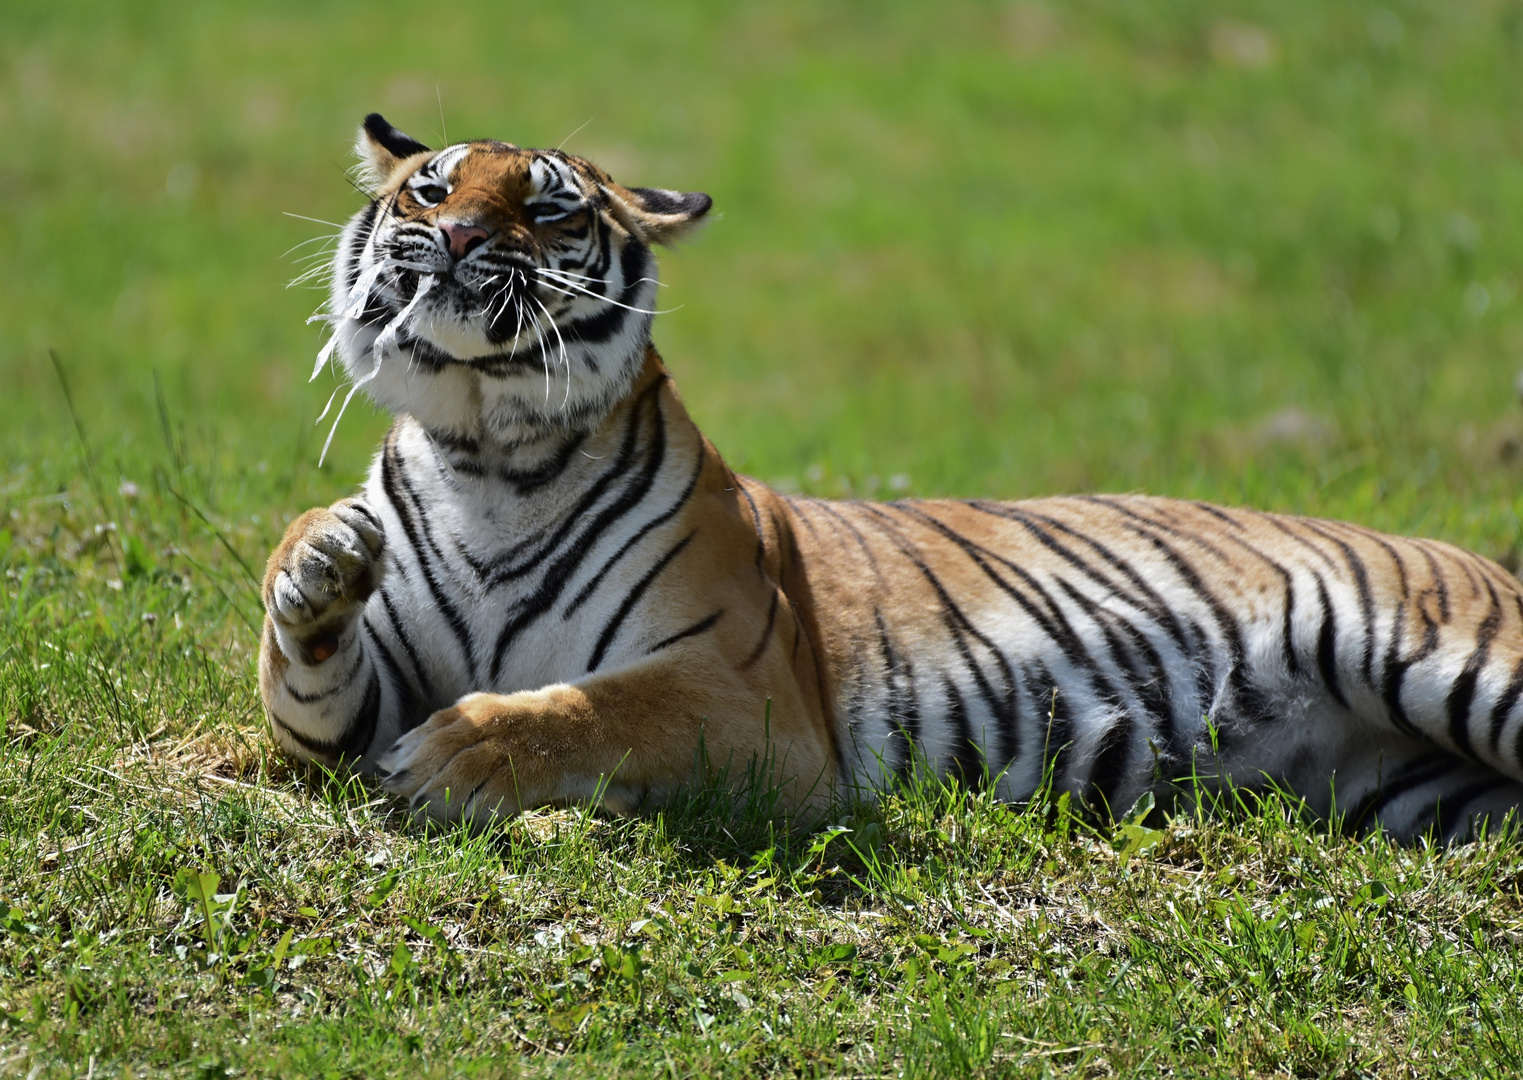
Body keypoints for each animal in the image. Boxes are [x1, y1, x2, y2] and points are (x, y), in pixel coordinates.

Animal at [261, 115, 1523, 840]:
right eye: (431, 190)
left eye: (545, 204)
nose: (458, 239)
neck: (489, 453)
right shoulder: (372, 690)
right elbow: (306, 693)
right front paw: (321, 557)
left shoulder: (749, 699)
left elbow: (601, 705)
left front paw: (467, 754)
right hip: (1421, 792)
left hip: (1458, 668)